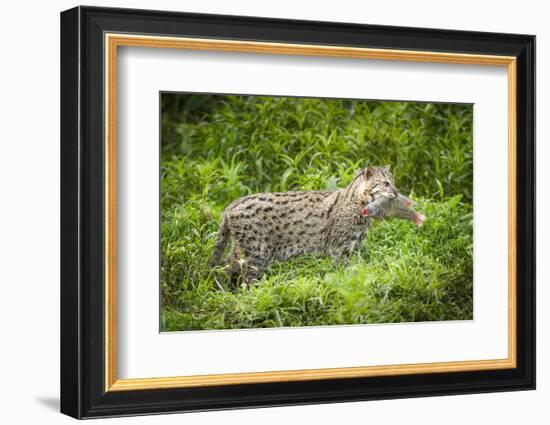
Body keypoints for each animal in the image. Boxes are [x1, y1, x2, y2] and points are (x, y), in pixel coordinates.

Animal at [211, 166, 426, 282]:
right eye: (385, 183)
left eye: (393, 181)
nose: (397, 192)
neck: (359, 203)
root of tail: (230, 205)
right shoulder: (340, 249)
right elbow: (344, 273)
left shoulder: (355, 247)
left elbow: (358, 270)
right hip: (258, 252)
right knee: (245, 279)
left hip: (243, 251)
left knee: (225, 267)